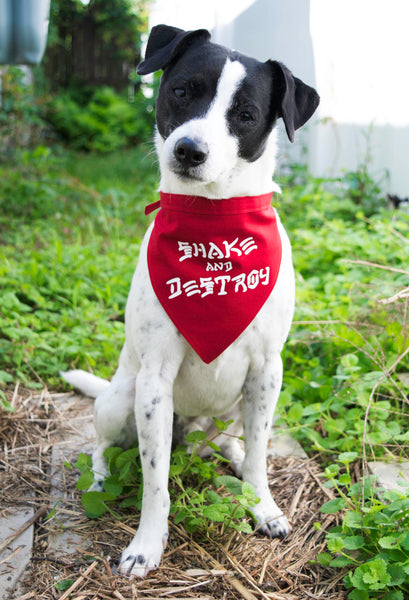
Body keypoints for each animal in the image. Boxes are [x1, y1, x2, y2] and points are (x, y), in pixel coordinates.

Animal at [63, 25, 318, 580]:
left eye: (246, 115)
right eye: (182, 91)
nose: (188, 150)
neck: (213, 221)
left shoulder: (268, 370)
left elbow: (261, 456)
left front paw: (263, 507)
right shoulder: (155, 380)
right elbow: (155, 481)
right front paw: (146, 544)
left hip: (237, 405)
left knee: (236, 441)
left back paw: (233, 455)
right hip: (122, 398)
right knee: (101, 444)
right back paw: (99, 478)